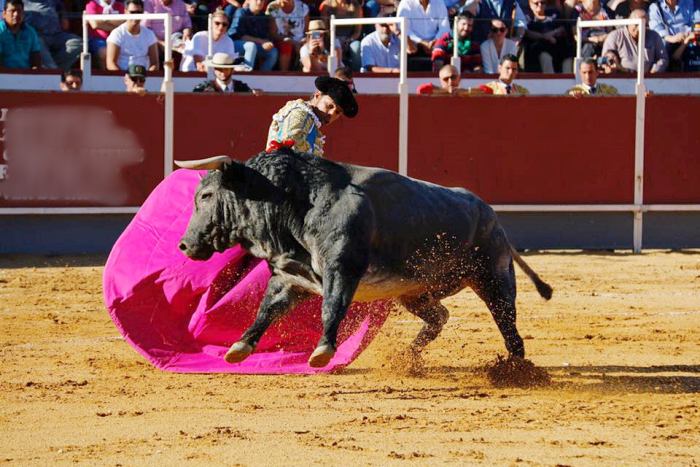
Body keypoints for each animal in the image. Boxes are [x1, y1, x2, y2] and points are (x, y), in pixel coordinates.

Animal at [176, 150, 552, 370]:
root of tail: (489, 212)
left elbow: (332, 306)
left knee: (507, 324)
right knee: (439, 316)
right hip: (415, 292)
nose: (184, 244)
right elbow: (266, 309)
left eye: (206, 196)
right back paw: (409, 358)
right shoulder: (290, 277)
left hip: (492, 276)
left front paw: (323, 351)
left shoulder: (341, 269)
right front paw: (239, 347)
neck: (297, 202)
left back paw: (515, 369)